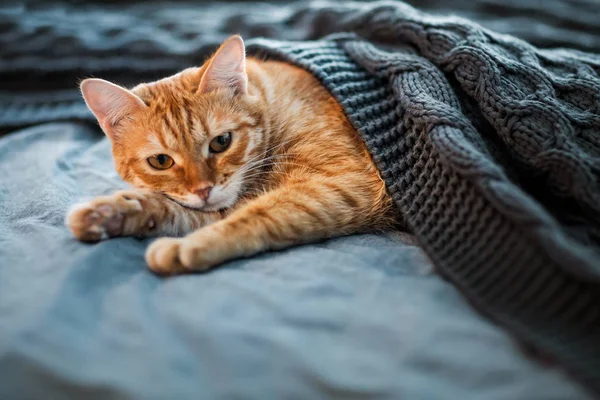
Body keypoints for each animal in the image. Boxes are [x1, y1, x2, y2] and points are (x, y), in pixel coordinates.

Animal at [67, 35, 394, 276]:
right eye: (161, 161)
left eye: (221, 142)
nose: (203, 190)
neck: (274, 105)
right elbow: (180, 210)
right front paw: (113, 213)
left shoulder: (344, 182)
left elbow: (259, 214)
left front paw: (189, 247)